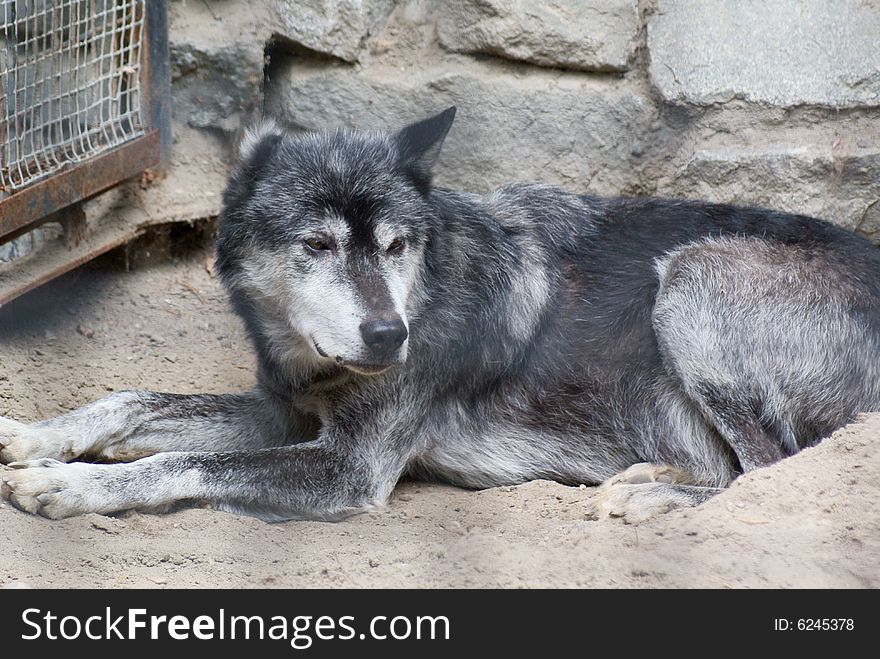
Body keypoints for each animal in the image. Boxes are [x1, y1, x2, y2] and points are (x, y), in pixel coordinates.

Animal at [1, 107, 880, 520]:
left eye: (395, 245)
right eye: (317, 244)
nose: (390, 335)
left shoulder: (346, 467)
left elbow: (180, 462)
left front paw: (67, 484)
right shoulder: (280, 411)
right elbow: (130, 399)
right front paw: (32, 437)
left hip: (691, 278)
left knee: (768, 470)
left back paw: (650, 496)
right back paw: (652, 475)